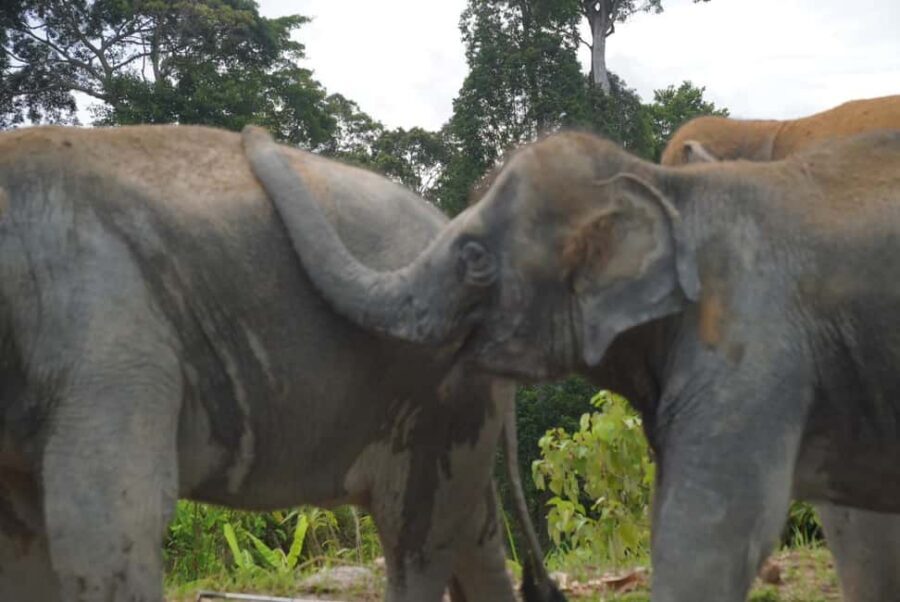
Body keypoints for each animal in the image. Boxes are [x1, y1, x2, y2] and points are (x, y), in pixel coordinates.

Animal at [0, 124, 563, 602]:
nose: (254, 134)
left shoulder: (107, 327)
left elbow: (106, 521)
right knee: (473, 535)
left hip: (435, 390)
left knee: (417, 537)